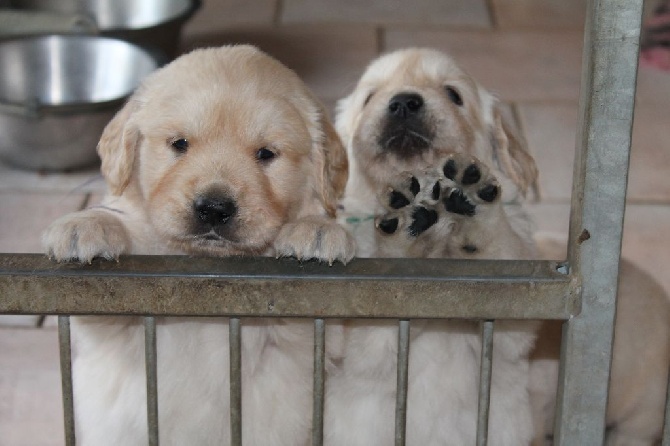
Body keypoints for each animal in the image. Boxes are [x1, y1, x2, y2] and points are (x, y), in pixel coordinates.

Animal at [42, 43, 356, 444]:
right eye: (180, 144)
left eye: (266, 154)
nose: (214, 209)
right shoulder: (110, 328)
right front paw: (87, 224)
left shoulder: (311, 342)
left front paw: (315, 229)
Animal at [328, 47, 544, 444]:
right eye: (369, 98)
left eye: (453, 94)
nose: (402, 103)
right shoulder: (361, 349)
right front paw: (402, 228)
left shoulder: (512, 331)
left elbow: (500, 252)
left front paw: (475, 204)